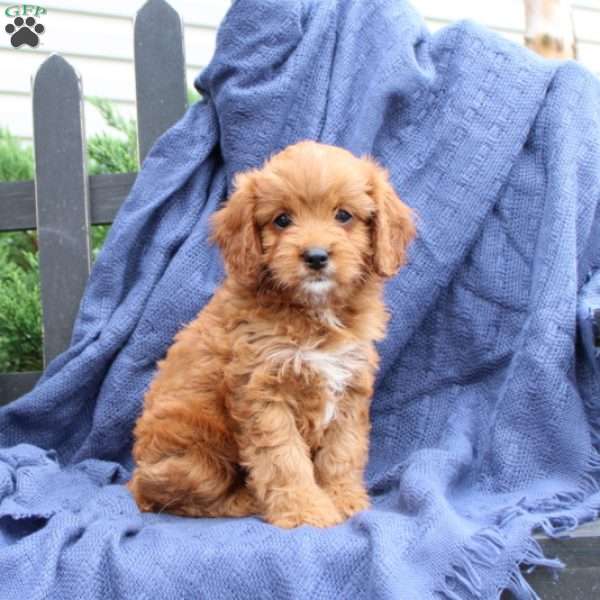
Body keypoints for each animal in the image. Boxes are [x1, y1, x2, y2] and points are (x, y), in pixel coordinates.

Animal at [129, 139, 414, 524]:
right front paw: (306, 510)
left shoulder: (350, 385)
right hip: (194, 461)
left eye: (343, 215)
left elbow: (342, 450)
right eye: (282, 219)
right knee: (182, 497)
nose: (316, 256)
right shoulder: (263, 392)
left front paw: (342, 498)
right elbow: (284, 459)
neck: (314, 313)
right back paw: (246, 501)